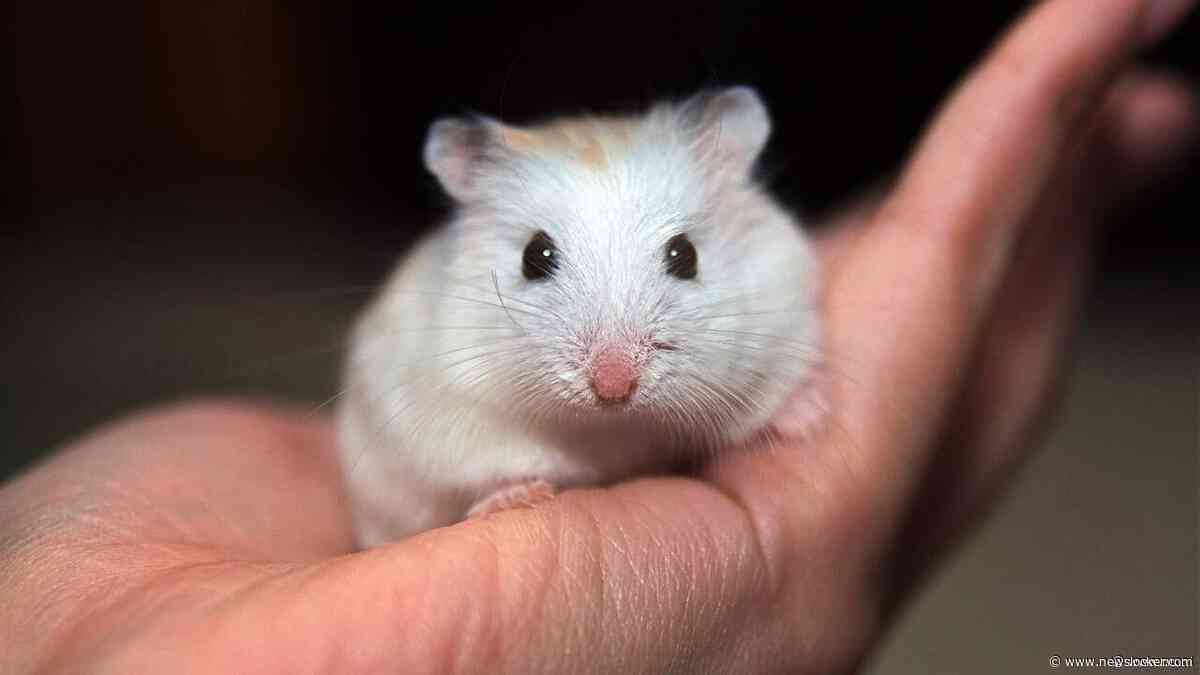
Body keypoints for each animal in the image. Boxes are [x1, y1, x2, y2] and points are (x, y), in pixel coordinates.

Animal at [337, 86, 822, 547]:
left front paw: (809, 415)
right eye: (534, 256)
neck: (612, 425)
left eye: (685, 255)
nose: (614, 388)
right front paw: (516, 496)